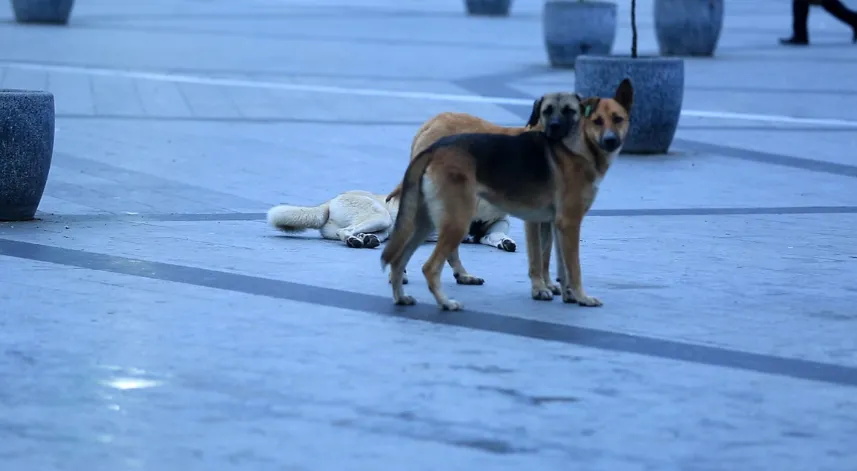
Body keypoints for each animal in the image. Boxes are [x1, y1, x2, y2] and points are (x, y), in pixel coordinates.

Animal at [378, 79, 632, 312]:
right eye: (597, 121)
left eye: (618, 119)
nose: (610, 140)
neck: (578, 145)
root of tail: (433, 143)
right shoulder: (563, 223)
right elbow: (562, 265)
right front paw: (570, 294)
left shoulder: (557, 224)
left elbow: (557, 262)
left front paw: (565, 292)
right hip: (457, 220)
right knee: (429, 267)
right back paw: (445, 302)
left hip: (427, 223)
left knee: (400, 258)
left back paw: (405, 295)